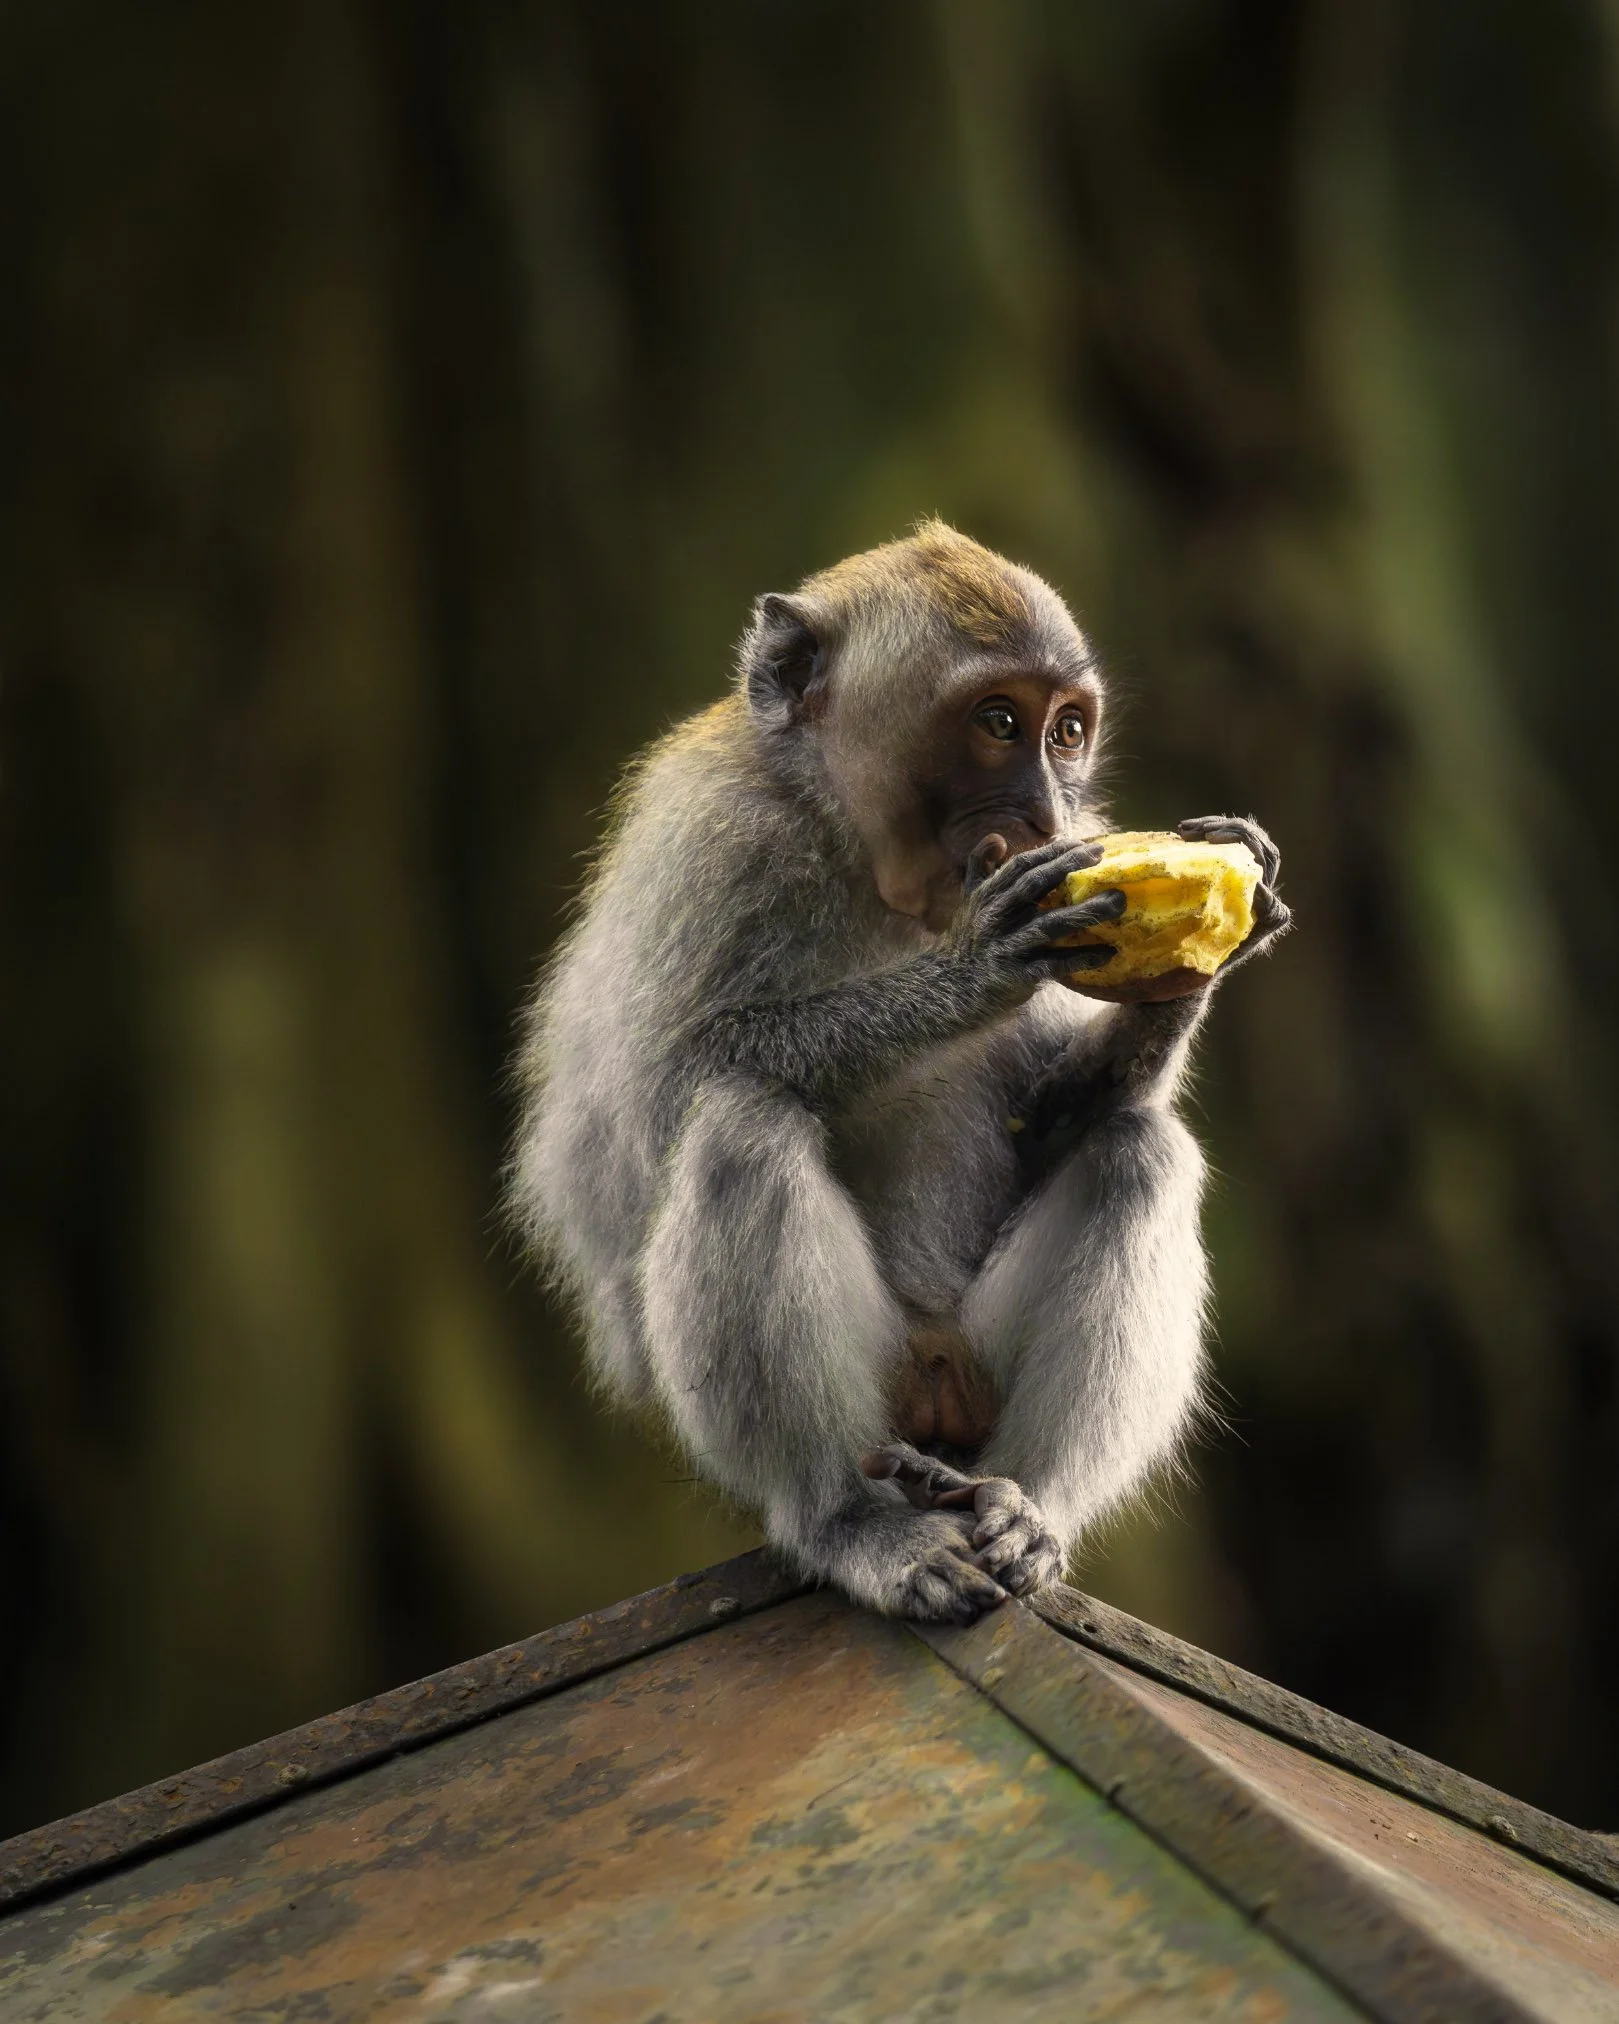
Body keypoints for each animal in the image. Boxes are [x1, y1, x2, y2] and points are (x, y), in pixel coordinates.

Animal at [509, 521, 1289, 1624]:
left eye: (1066, 732)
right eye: (998, 721)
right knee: (740, 1127)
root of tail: (934, 1385)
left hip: (977, 1364)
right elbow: (650, 1103)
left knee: (1134, 1153)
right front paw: (973, 969)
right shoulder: (716, 839)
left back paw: (1028, 1504)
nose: (1046, 812)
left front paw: (1208, 946)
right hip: (872, 1382)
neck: (871, 862)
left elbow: (1052, 1115)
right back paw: (845, 1517)